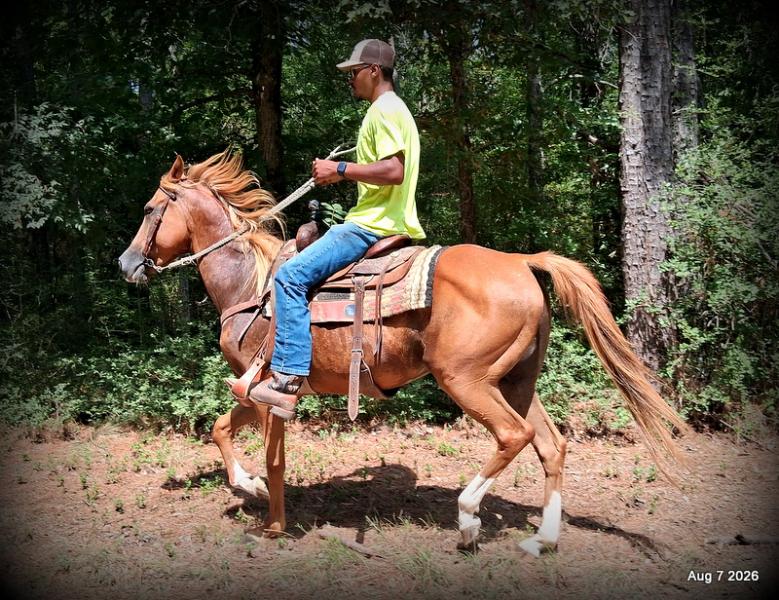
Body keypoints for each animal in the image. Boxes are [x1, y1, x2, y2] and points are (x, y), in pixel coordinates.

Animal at [118, 150, 687, 556]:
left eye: (148, 210)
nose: (126, 263)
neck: (250, 284)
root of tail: (521, 262)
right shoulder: (253, 388)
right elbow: (221, 428)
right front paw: (251, 487)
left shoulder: (270, 390)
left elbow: (272, 459)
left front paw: (269, 518)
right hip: (518, 381)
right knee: (551, 444)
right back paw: (542, 539)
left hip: (467, 381)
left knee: (514, 436)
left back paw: (468, 519)